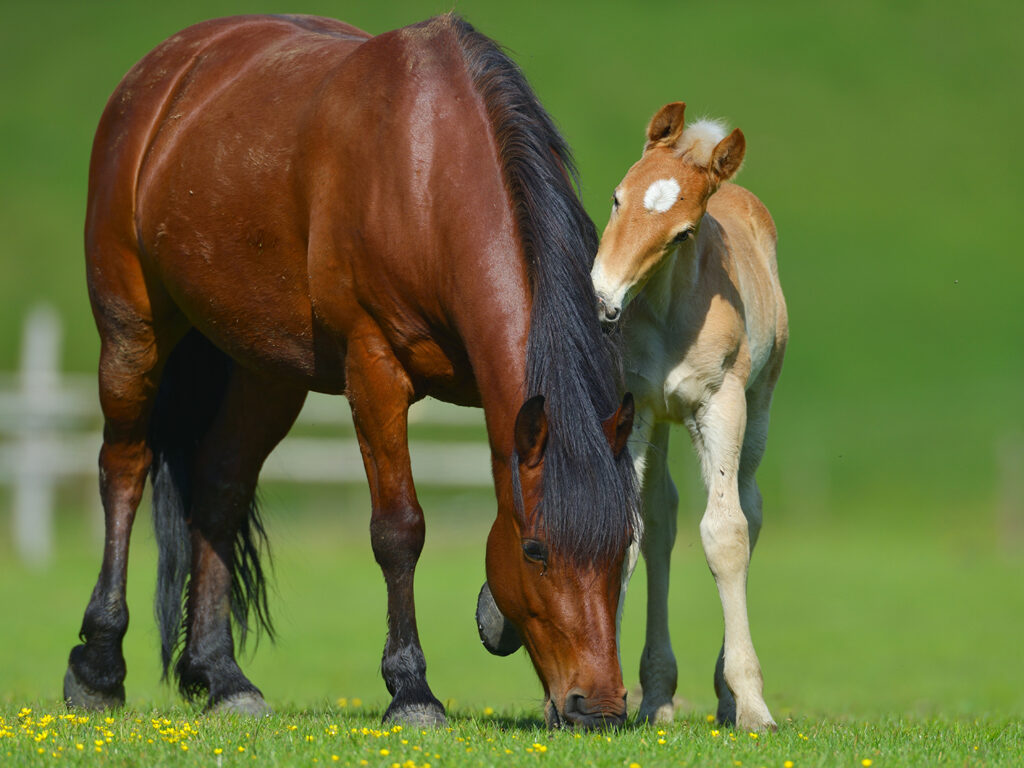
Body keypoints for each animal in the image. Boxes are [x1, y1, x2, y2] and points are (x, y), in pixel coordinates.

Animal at [64, 15, 634, 729]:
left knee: (219, 488)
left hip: (265, 370)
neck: (429, 171)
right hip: (131, 330)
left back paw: (222, 677)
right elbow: (399, 529)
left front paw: (492, 619)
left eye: (624, 547)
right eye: (537, 552)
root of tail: (165, 70)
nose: (601, 708)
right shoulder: (374, 370)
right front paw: (412, 691)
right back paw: (99, 665)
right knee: (124, 469)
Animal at [593, 103, 782, 733]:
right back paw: (657, 697)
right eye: (616, 198)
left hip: (758, 407)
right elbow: (630, 530)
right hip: (661, 422)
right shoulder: (635, 408)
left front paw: (752, 705)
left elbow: (726, 535)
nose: (603, 297)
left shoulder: (721, 404)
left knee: (749, 509)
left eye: (683, 233)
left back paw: (725, 695)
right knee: (661, 522)